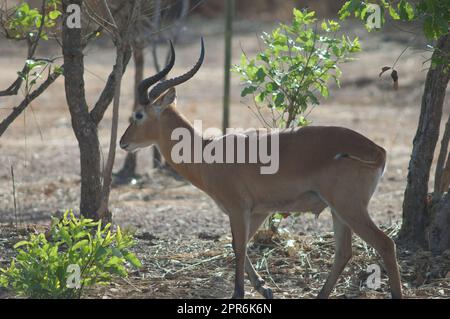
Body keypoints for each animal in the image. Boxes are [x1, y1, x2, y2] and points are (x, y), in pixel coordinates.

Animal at [118, 40, 402, 300]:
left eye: (138, 115)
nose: (122, 142)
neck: (207, 152)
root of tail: (377, 150)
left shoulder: (237, 209)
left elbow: (238, 247)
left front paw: (239, 293)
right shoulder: (258, 211)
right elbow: (239, 245)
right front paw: (264, 288)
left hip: (349, 207)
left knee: (385, 244)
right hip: (338, 210)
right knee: (344, 252)